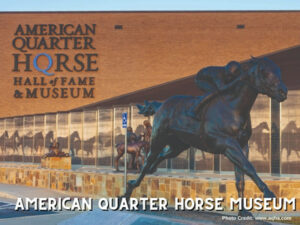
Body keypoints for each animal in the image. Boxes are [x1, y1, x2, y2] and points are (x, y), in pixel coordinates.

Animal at [122, 57, 288, 217]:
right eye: (264, 72)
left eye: (279, 71)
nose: (283, 91)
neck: (233, 108)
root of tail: (161, 105)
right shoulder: (227, 144)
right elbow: (249, 167)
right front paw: (269, 193)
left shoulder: (242, 146)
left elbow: (240, 178)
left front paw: (243, 211)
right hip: (158, 138)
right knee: (148, 159)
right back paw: (128, 191)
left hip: (178, 145)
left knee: (161, 156)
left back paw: (146, 174)